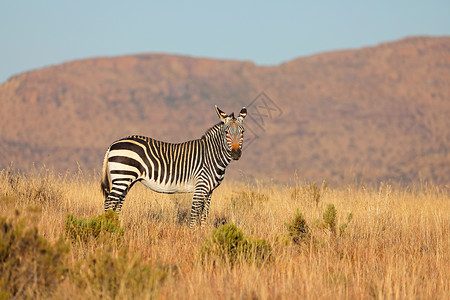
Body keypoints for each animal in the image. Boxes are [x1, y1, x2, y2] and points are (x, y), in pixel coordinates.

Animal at [100, 106, 248, 227]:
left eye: (242, 132)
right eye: (226, 132)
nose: (236, 153)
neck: (211, 156)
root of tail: (113, 144)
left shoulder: (209, 190)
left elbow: (204, 215)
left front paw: (203, 233)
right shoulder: (200, 187)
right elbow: (194, 214)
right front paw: (192, 235)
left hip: (126, 180)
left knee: (117, 204)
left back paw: (117, 227)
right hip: (122, 176)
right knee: (109, 202)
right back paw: (109, 229)